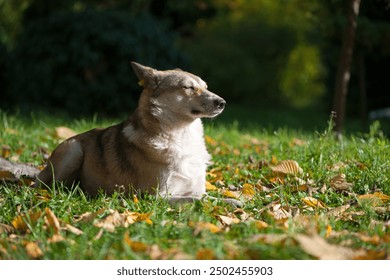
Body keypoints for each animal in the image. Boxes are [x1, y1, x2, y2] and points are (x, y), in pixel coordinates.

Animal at [35, 63, 241, 206]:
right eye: (188, 88)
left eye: (206, 87)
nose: (222, 103)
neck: (182, 136)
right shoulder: (156, 196)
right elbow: (195, 200)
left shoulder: (197, 188)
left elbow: (211, 197)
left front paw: (233, 201)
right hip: (73, 150)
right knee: (52, 187)